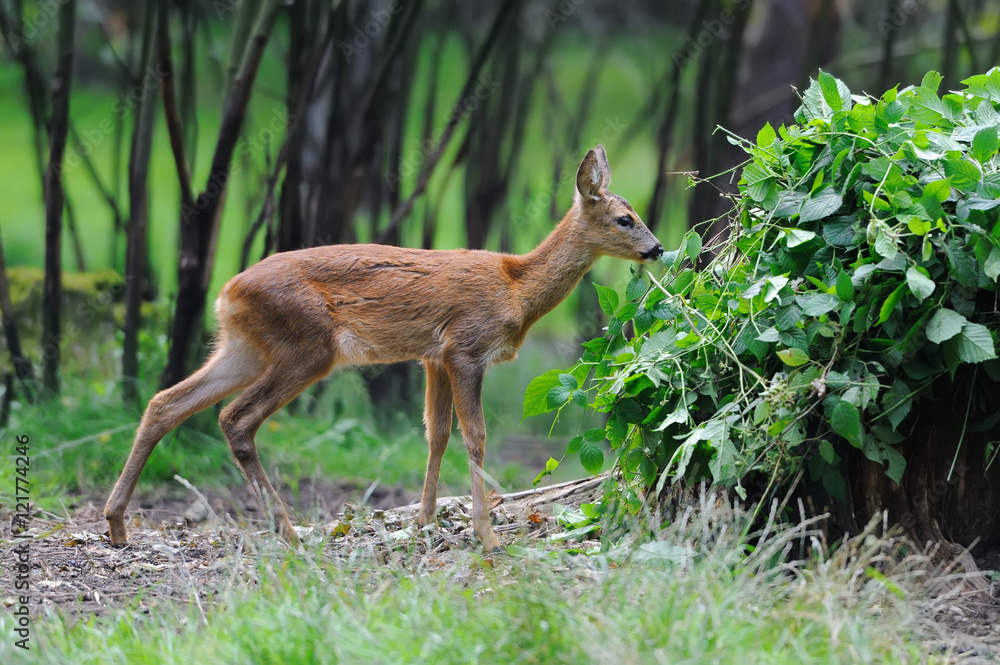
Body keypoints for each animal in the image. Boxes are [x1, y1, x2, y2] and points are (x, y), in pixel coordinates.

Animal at [104, 144, 663, 552]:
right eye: (625, 219)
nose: (657, 249)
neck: (516, 288)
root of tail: (226, 292)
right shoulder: (465, 347)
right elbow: (476, 437)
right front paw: (487, 538)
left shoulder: (433, 356)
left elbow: (436, 434)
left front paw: (426, 525)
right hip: (308, 346)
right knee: (235, 418)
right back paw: (287, 532)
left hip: (243, 346)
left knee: (166, 402)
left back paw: (117, 524)